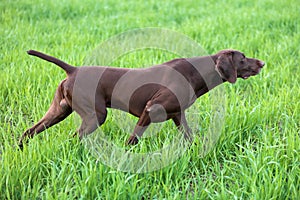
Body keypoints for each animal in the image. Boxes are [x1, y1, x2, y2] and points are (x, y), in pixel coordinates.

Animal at [18, 49, 264, 148]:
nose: (262, 62)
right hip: (96, 114)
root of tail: (74, 70)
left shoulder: (177, 115)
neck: (196, 72)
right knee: (74, 137)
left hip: (58, 111)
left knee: (29, 131)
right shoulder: (150, 109)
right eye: (243, 58)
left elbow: (189, 137)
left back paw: (20, 148)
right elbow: (132, 140)